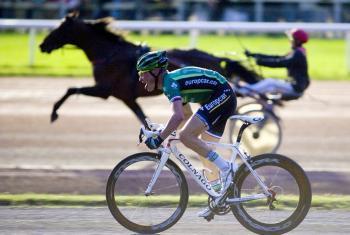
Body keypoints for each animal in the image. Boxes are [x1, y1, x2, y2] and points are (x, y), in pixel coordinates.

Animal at [40, 13, 260, 125]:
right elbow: (143, 119)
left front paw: (54, 113)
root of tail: (215, 57)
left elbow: (71, 89)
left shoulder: (105, 90)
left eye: (59, 28)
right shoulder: (128, 98)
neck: (110, 54)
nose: (42, 45)